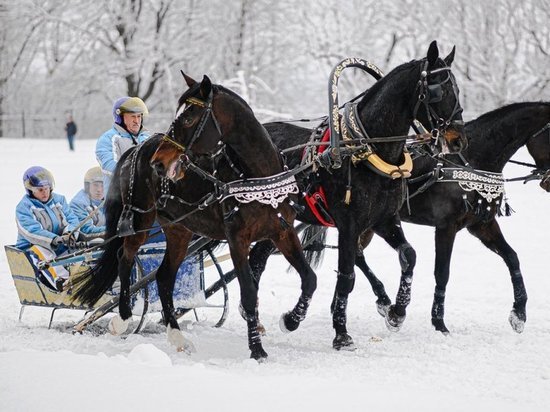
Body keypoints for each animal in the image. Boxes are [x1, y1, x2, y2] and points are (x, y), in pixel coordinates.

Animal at [72, 74, 320, 360]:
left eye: (189, 117)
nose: (159, 162)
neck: (256, 176)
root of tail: (138, 149)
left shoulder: (282, 230)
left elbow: (310, 279)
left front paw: (291, 320)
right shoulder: (237, 239)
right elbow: (248, 292)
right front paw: (257, 349)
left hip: (179, 230)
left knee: (163, 276)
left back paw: (177, 337)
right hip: (139, 219)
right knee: (125, 258)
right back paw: (123, 318)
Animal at [250, 39, 470, 350]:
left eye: (458, 89)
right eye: (438, 90)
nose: (458, 140)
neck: (365, 151)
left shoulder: (384, 220)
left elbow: (409, 255)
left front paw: (397, 311)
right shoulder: (348, 225)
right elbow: (347, 276)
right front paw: (340, 333)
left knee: (257, 258)